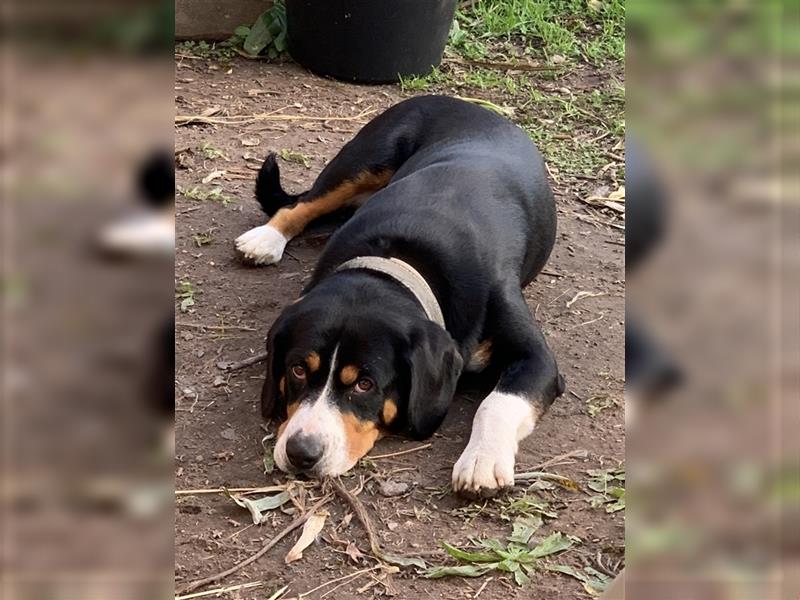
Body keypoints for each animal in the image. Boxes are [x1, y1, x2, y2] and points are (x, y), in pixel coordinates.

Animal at [234, 96, 564, 494]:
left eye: (365, 384)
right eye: (297, 369)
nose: (302, 453)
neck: (400, 256)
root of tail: (465, 103)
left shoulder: (537, 359)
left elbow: (498, 402)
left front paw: (482, 460)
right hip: (362, 161)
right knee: (301, 203)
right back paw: (265, 239)